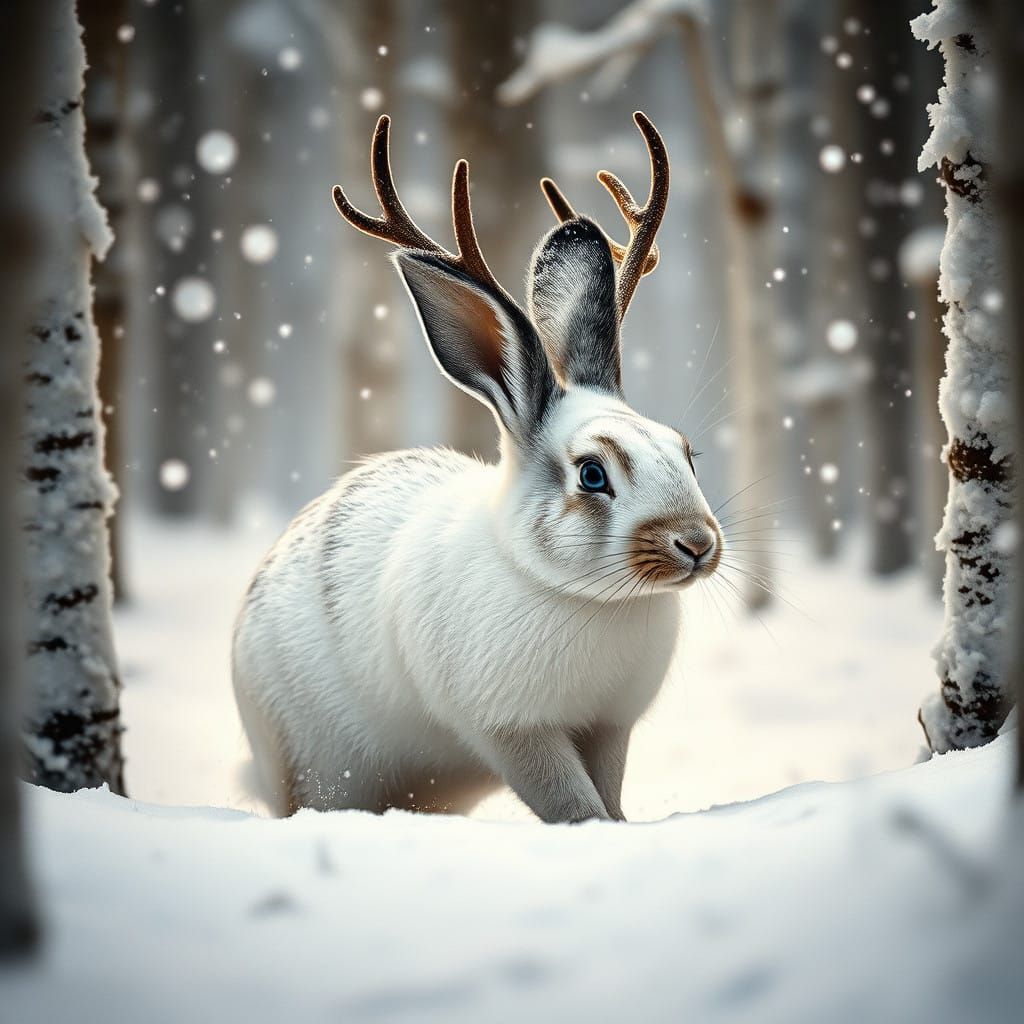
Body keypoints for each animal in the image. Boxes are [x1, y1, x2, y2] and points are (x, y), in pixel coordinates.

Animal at [232, 112, 723, 823]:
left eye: (685, 451)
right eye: (593, 474)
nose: (697, 544)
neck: (584, 596)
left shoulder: (609, 729)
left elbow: (608, 799)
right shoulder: (515, 732)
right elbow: (574, 805)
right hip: (320, 766)